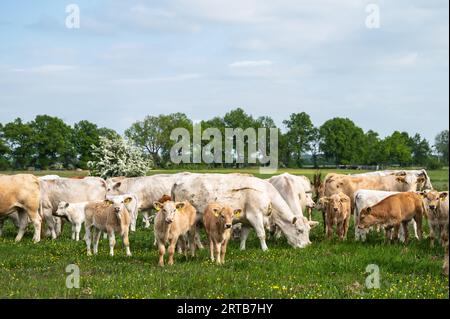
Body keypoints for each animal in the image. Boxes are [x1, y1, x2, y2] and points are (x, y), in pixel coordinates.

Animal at [171, 174, 316, 251]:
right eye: (299, 230)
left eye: (309, 231)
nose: (307, 245)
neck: (267, 194)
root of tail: (178, 181)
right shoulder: (255, 216)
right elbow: (261, 234)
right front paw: (265, 249)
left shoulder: (246, 220)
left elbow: (244, 235)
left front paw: (242, 248)